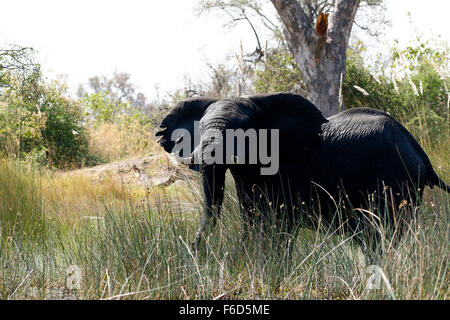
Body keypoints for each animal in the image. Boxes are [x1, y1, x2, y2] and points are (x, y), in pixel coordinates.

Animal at [156, 92, 448, 250]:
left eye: (244, 130)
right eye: (202, 128)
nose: (192, 248)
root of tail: (420, 151)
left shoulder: (289, 169)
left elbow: (282, 222)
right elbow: (252, 217)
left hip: (395, 177)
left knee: (380, 232)